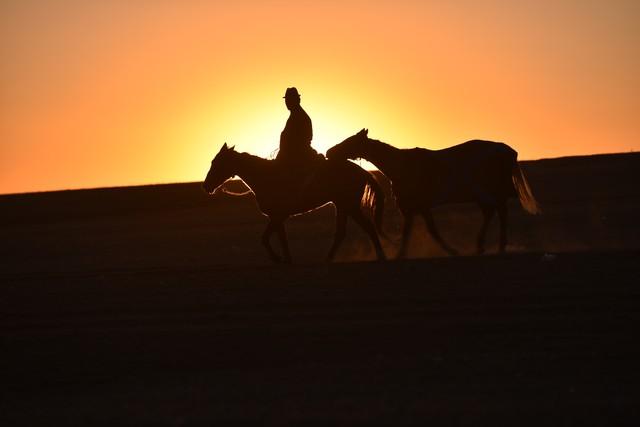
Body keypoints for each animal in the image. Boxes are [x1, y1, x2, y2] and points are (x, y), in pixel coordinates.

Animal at [205, 144, 384, 262]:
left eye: (217, 163)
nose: (206, 186)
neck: (264, 176)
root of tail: (362, 171)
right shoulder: (277, 218)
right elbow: (281, 239)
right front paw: (287, 259)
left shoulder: (278, 216)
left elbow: (265, 239)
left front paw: (277, 258)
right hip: (343, 206)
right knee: (344, 232)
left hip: (350, 206)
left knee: (366, 228)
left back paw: (380, 256)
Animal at [324, 130, 540, 258]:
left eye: (350, 141)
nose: (328, 152)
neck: (401, 165)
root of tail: (507, 151)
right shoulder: (419, 207)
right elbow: (430, 230)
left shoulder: (412, 206)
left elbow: (414, 231)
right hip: (485, 196)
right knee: (493, 213)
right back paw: (484, 245)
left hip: (489, 193)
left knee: (499, 212)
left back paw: (496, 245)